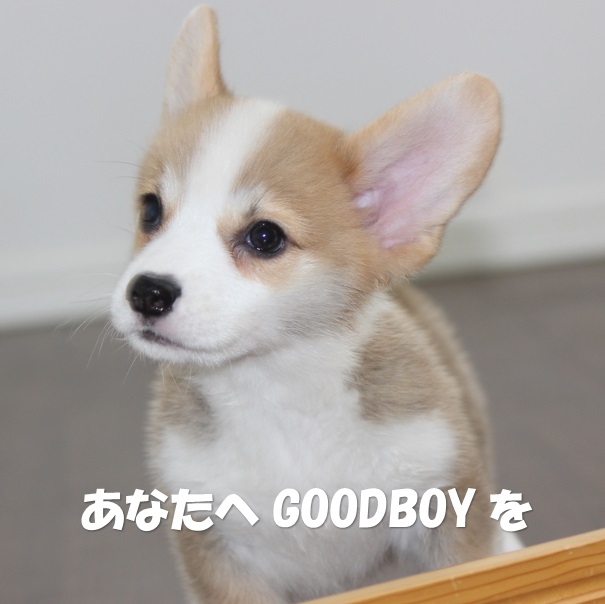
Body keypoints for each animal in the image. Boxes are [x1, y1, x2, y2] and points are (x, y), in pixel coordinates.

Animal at [111, 6, 516, 603]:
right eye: (150, 211)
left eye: (265, 237)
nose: (147, 291)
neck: (277, 396)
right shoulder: (220, 560)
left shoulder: (443, 514)